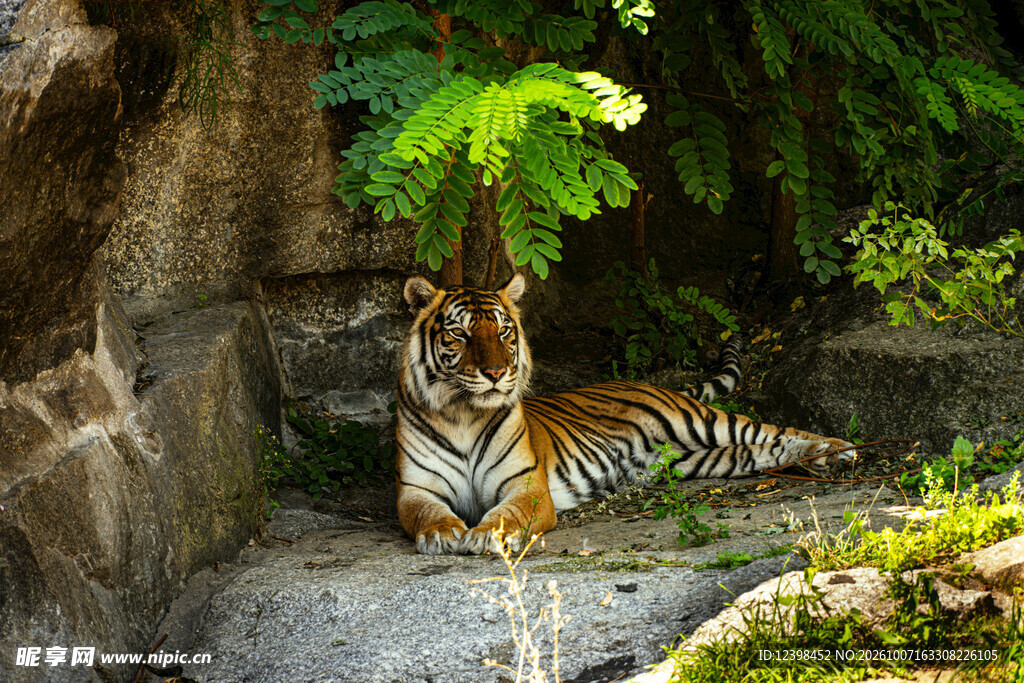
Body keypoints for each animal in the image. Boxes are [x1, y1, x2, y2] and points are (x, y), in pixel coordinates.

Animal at [396, 273, 853, 555]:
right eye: (459, 333)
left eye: (504, 330)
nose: (496, 373)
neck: (464, 414)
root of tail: (646, 383)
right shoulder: (415, 489)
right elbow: (427, 513)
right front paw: (444, 534)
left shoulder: (527, 486)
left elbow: (507, 514)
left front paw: (484, 535)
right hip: (695, 460)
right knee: (760, 452)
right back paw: (817, 460)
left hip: (702, 421)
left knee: (772, 429)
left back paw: (838, 449)